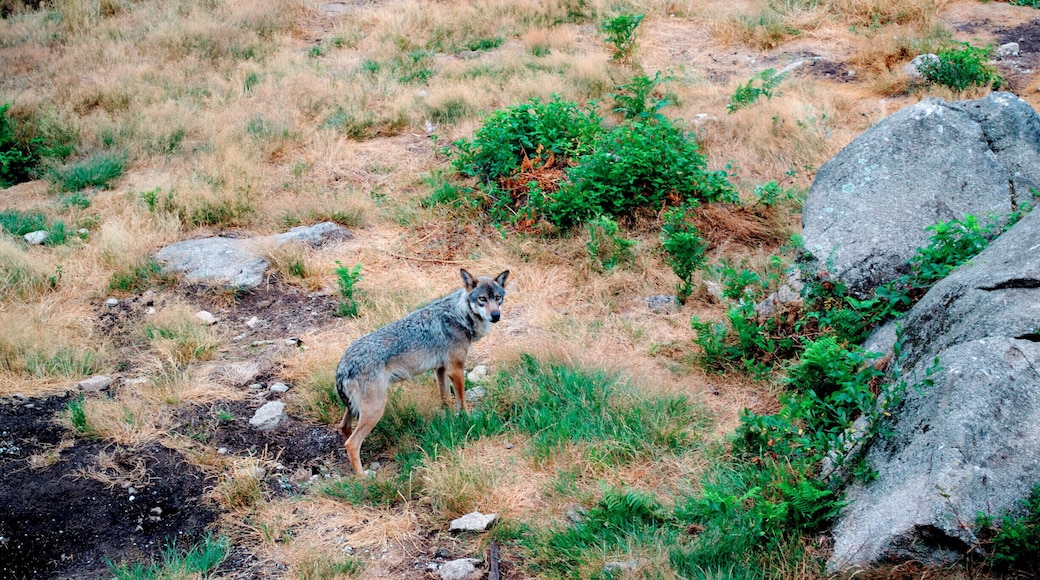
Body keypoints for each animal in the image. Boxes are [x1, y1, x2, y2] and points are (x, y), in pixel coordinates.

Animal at [335, 269, 509, 475]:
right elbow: (462, 402)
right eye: (482, 299)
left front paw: (449, 421)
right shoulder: (456, 369)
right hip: (375, 410)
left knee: (343, 427)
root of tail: (342, 365)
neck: (460, 315)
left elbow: (445, 400)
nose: (496, 315)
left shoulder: (440, 369)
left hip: (356, 408)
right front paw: (466, 421)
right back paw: (363, 477)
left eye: (497, 298)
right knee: (351, 443)